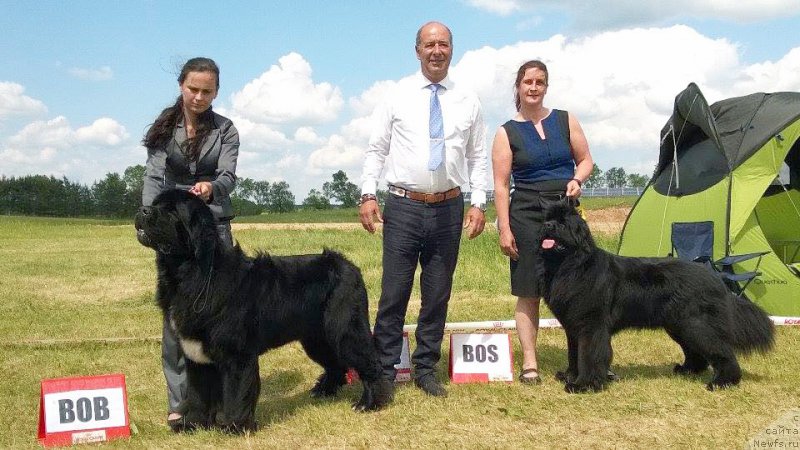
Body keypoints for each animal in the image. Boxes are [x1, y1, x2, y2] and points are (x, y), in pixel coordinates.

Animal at [136, 189, 392, 432]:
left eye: (172, 211)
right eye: (156, 204)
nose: (143, 210)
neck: (196, 273)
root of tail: (348, 265)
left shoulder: (237, 354)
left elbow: (237, 392)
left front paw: (234, 427)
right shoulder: (197, 356)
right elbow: (198, 395)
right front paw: (191, 425)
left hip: (344, 330)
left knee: (370, 363)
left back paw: (370, 403)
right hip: (316, 338)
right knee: (335, 365)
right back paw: (322, 391)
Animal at [536, 202, 772, 392]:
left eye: (563, 223)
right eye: (547, 219)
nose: (547, 226)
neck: (570, 266)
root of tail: (715, 277)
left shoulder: (591, 325)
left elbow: (589, 355)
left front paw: (583, 385)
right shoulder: (573, 326)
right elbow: (574, 353)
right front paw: (569, 376)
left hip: (698, 325)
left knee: (722, 351)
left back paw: (722, 382)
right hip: (679, 325)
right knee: (695, 351)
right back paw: (686, 370)